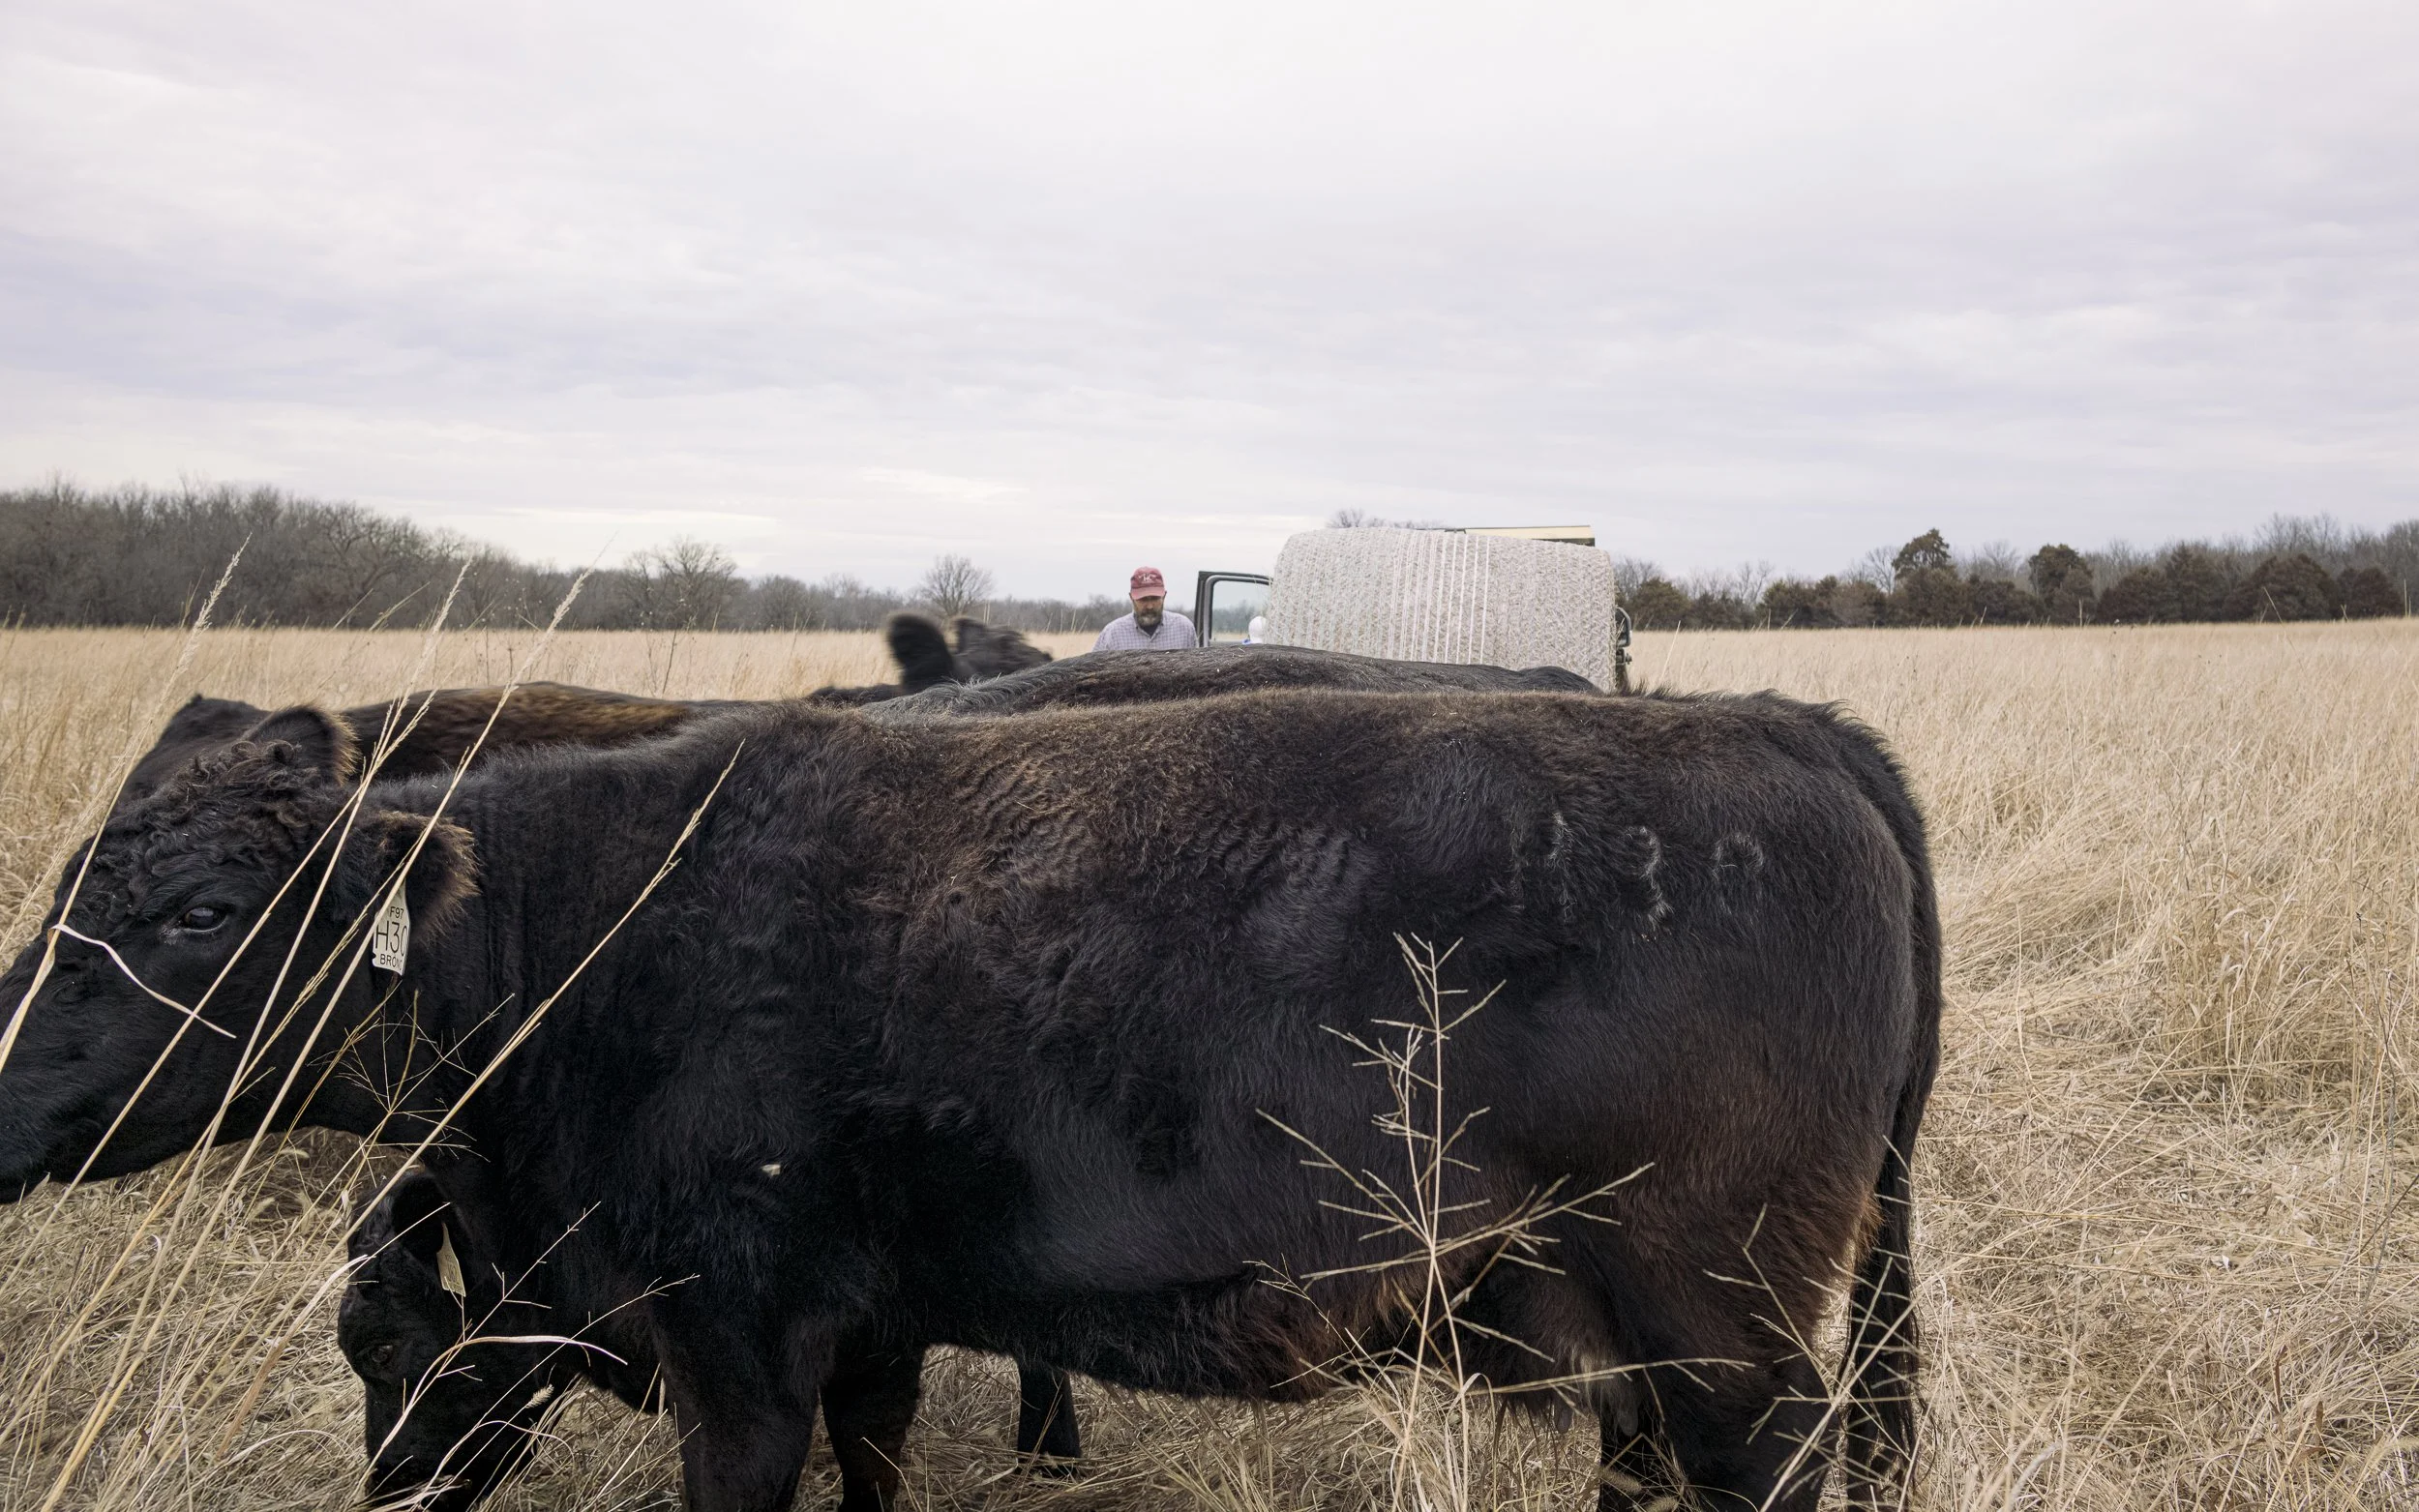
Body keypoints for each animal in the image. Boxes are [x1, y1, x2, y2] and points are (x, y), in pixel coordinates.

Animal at [0, 688, 1937, 1512]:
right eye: (71, 881)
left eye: (197, 912)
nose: (4, 1092)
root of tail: (1786, 723)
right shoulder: (869, 1333)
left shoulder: (743, 1350)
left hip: (1723, 1317)